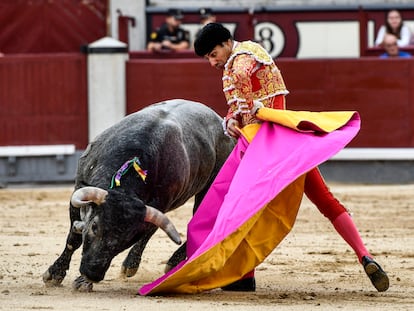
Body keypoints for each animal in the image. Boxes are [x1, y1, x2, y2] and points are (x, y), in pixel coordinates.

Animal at [44, 100, 236, 292]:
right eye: (94, 227)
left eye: (127, 240)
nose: (92, 274)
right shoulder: (79, 190)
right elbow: (74, 238)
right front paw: (55, 274)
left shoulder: (159, 205)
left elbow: (146, 234)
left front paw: (83, 282)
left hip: (208, 189)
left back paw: (165, 263)